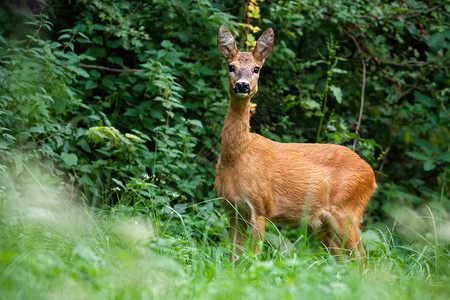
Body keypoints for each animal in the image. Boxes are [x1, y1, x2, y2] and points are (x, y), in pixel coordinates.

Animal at [214, 25, 376, 260]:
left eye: (256, 69)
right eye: (231, 66)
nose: (242, 86)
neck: (238, 156)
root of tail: (371, 176)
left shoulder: (261, 207)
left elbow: (253, 257)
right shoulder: (232, 209)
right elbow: (234, 258)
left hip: (346, 210)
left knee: (362, 257)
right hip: (323, 225)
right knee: (345, 259)